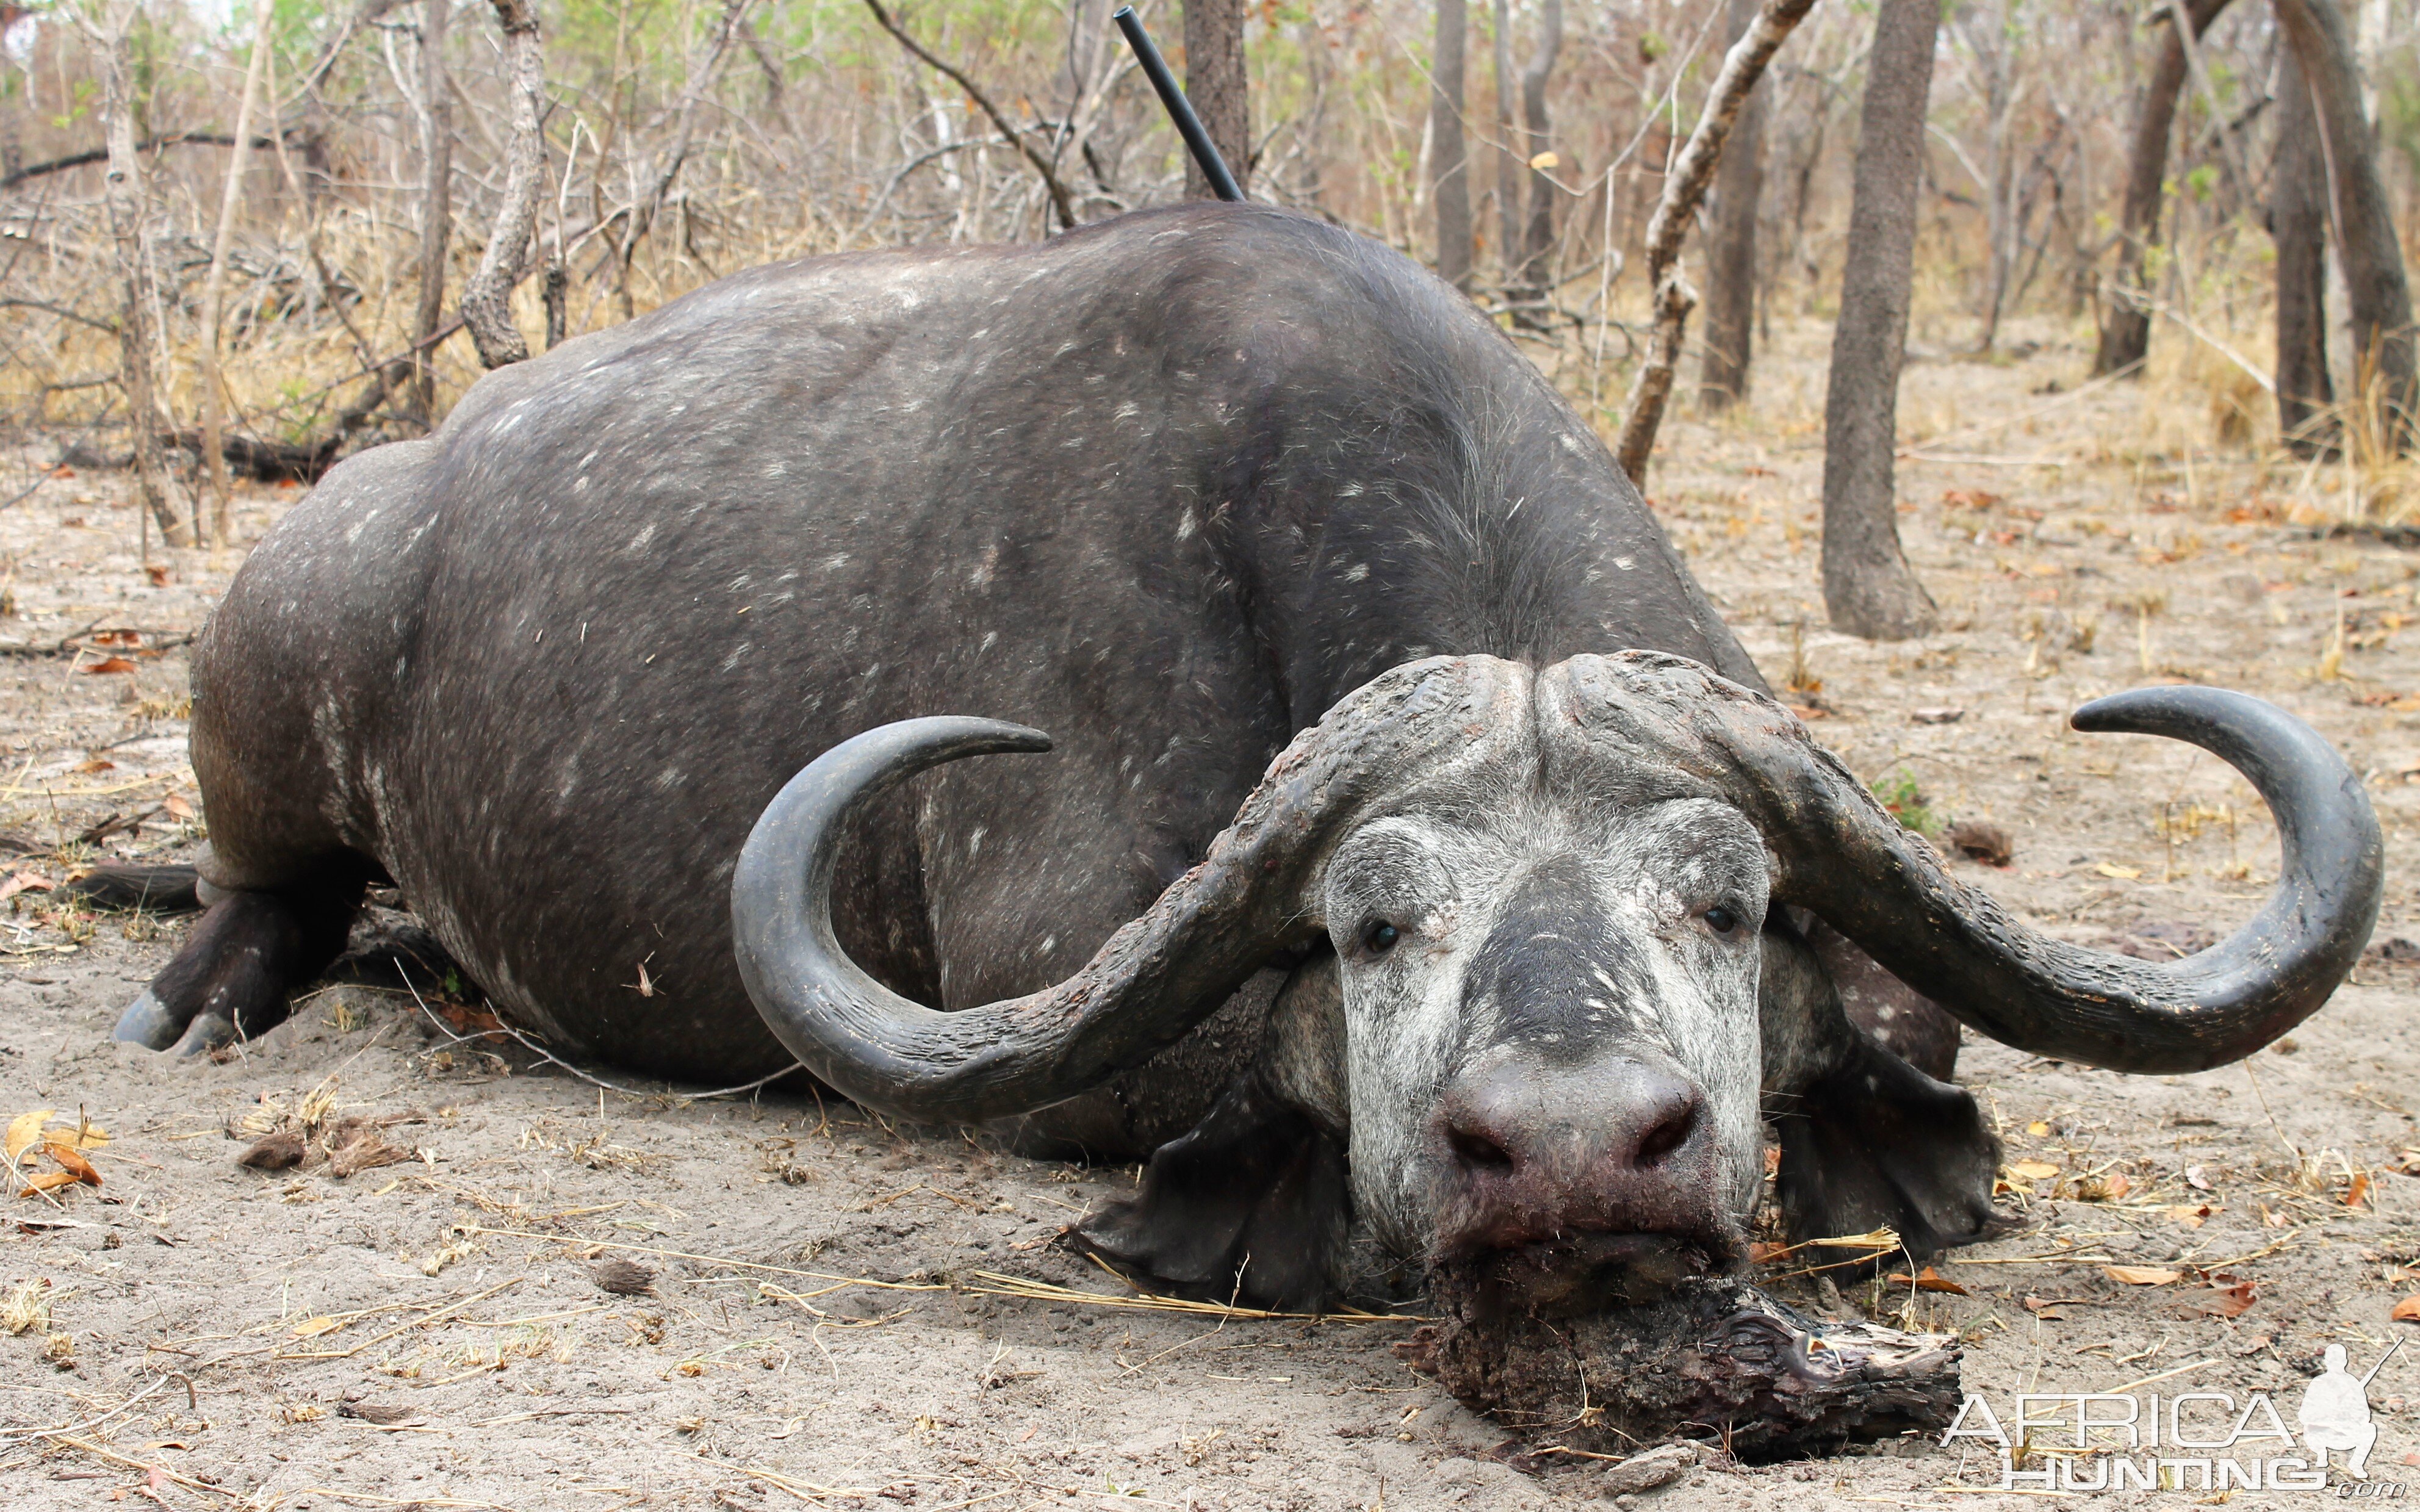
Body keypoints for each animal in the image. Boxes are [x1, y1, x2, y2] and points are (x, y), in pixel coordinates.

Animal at [123, 203, 2371, 1306]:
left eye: (1727, 903)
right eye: (1368, 924)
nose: (1573, 1153)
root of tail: (391, 490)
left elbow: (1910, 1019)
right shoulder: (1045, 983)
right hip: (269, 669)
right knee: (258, 879)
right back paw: (207, 984)